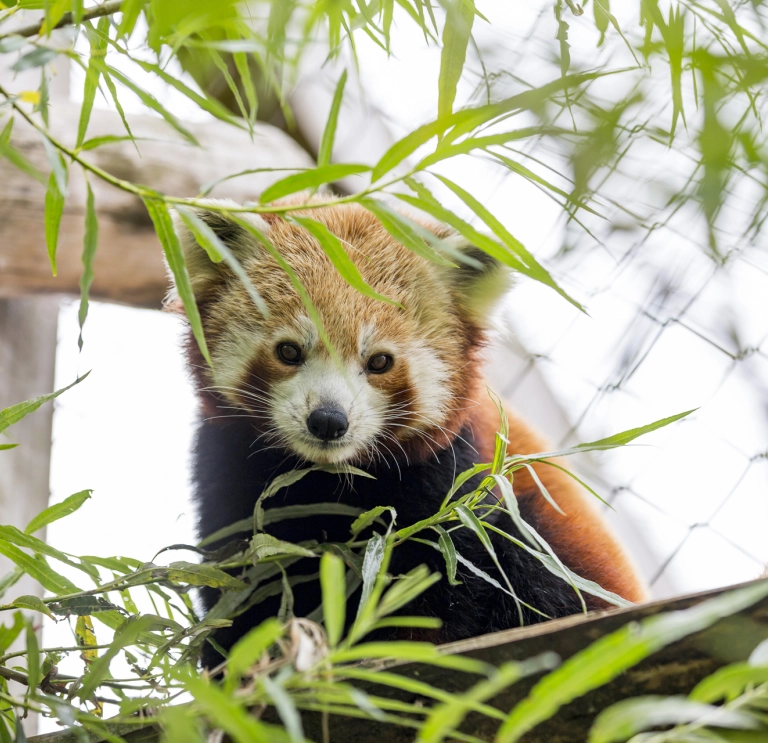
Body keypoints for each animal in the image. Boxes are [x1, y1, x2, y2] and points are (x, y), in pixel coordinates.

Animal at [170, 196, 648, 668]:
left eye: (380, 361)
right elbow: (244, 576)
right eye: (288, 351)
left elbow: (441, 584)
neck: (327, 478)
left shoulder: (450, 480)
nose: (328, 420)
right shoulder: (231, 470)